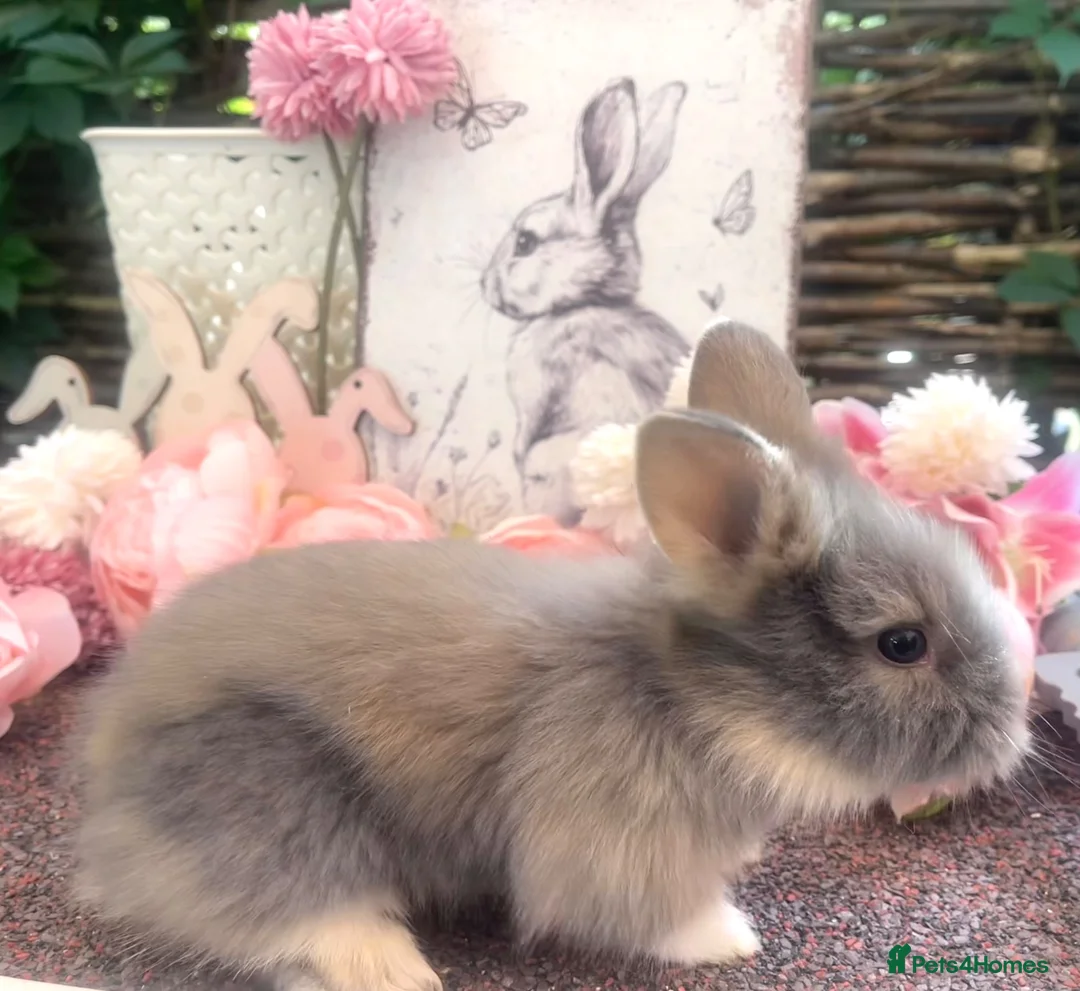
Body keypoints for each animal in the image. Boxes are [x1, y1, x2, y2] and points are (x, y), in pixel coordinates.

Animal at [73, 320, 1033, 991]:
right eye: (902, 643)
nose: (1015, 736)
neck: (696, 696)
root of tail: (107, 773)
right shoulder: (612, 839)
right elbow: (636, 908)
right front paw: (728, 935)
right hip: (265, 797)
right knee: (284, 908)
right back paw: (394, 965)